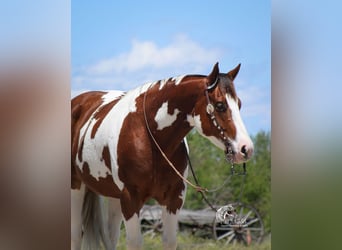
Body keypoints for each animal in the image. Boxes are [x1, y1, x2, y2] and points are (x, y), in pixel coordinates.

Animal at [71, 63, 254, 250]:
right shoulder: (130, 199)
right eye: (220, 105)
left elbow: (169, 240)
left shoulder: (174, 199)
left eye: (239, 104)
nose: (246, 149)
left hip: (113, 197)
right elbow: (135, 242)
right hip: (76, 187)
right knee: (76, 235)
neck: (148, 135)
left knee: (110, 237)